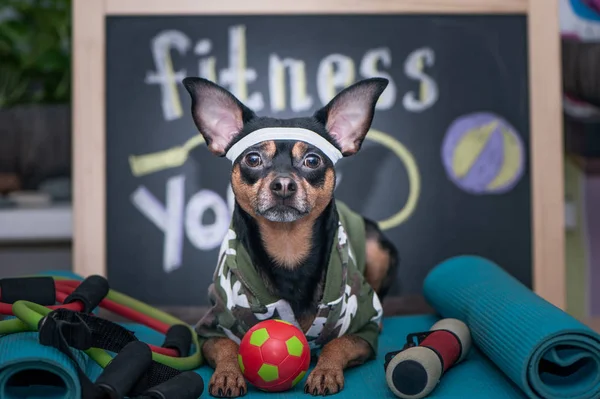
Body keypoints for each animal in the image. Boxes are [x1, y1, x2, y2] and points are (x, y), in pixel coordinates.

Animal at [183, 76, 398, 398]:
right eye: (253, 158)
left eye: (312, 160)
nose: (283, 183)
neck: (287, 248)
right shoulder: (210, 327)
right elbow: (226, 347)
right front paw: (228, 374)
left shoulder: (364, 329)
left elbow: (338, 342)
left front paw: (325, 371)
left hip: (379, 249)